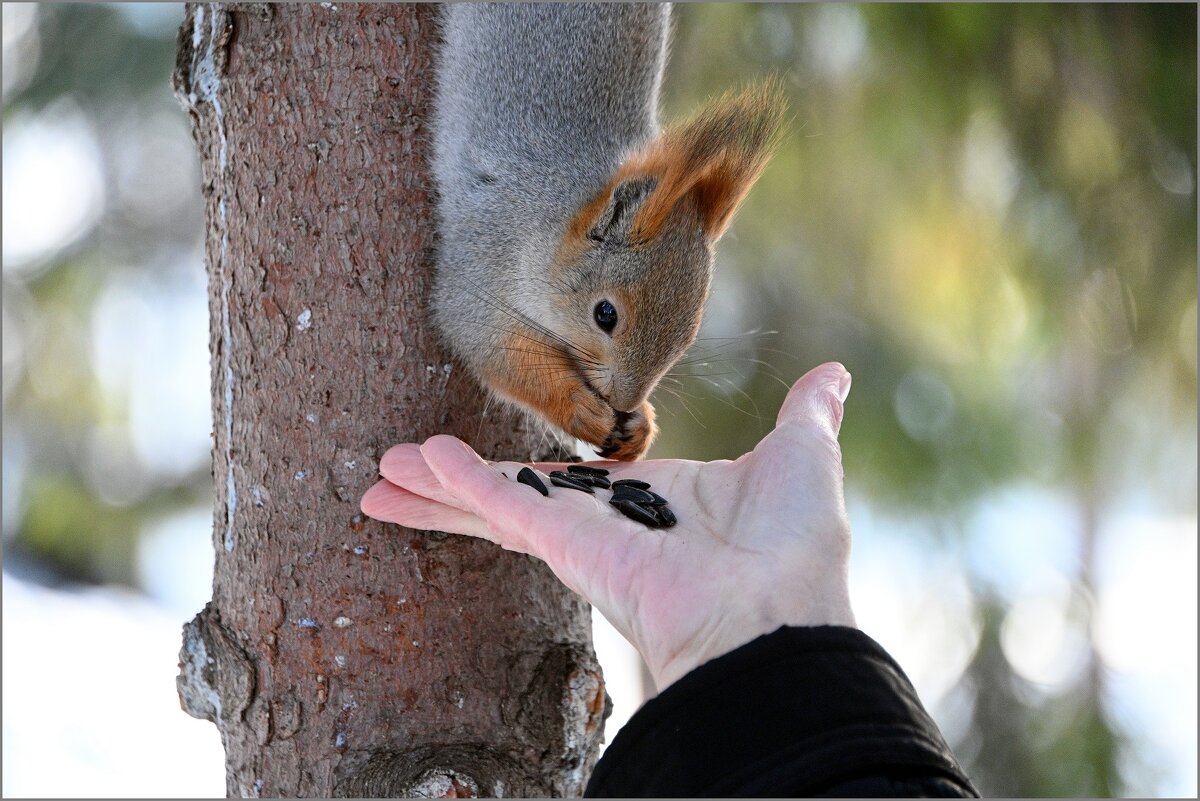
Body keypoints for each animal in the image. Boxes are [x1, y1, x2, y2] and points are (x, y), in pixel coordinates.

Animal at [432, 3, 787, 460]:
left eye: (688, 336)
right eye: (605, 315)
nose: (623, 401)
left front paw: (640, 428)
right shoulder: (483, 257)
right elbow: (491, 346)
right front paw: (581, 409)